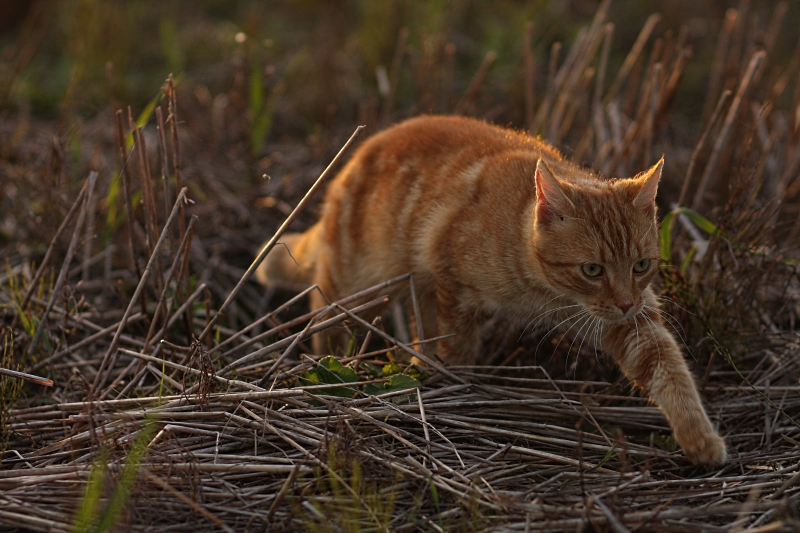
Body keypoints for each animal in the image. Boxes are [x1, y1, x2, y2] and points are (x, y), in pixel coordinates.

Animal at [256, 114, 724, 464]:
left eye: (641, 265)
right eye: (592, 269)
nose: (626, 301)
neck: (544, 292)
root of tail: (353, 160)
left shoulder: (631, 322)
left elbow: (667, 367)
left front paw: (699, 438)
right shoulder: (452, 285)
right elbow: (458, 349)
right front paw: (454, 388)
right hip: (356, 289)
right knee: (327, 321)